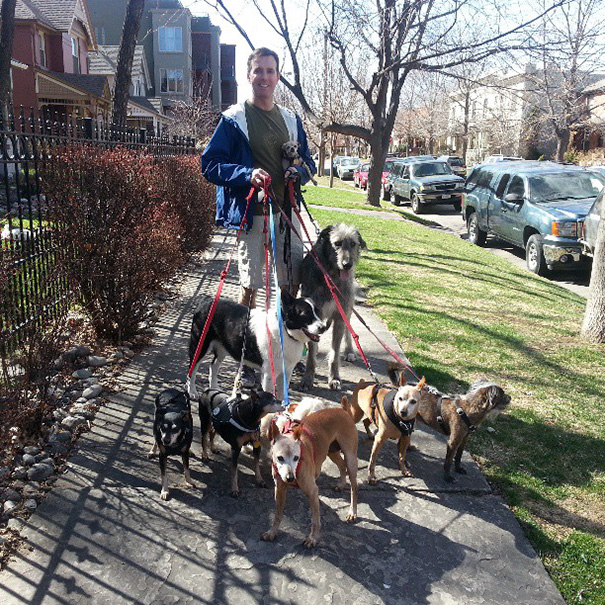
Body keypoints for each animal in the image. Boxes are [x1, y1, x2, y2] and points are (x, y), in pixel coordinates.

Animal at [188, 290, 326, 398]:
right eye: (305, 313)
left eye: (317, 312)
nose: (323, 328)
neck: (285, 331)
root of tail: (206, 301)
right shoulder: (269, 374)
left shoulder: (286, 372)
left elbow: (283, 396)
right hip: (200, 346)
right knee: (192, 369)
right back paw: (192, 392)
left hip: (223, 348)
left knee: (213, 366)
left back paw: (214, 389)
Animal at [260, 402, 356, 548]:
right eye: (280, 458)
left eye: (296, 457)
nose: (290, 478)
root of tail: (343, 410)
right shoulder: (280, 489)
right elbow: (277, 514)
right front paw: (272, 532)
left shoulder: (312, 491)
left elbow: (315, 519)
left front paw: (313, 538)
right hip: (332, 451)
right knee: (341, 465)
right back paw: (341, 484)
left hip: (351, 458)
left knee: (354, 487)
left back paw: (352, 512)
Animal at [298, 223, 366, 392]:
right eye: (337, 243)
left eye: (353, 243)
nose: (347, 265)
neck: (332, 275)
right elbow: (312, 355)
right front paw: (307, 378)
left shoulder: (340, 316)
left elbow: (335, 354)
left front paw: (334, 378)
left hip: (347, 307)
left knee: (349, 329)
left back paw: (349, 351)